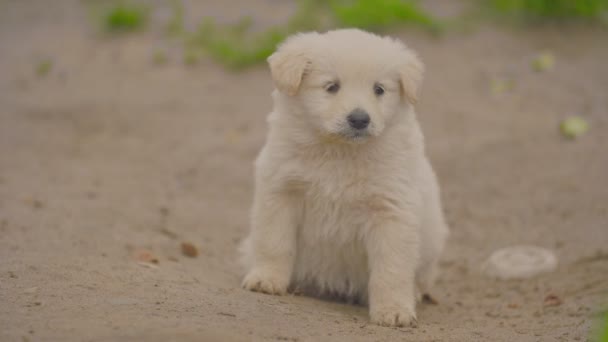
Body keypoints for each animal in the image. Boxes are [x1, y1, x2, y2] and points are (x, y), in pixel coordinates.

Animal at [240, 28, 448, 326]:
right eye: (332, 87)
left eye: (379, 89)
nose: (359, 119)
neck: (341, 152)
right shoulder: (281, 190)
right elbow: (274, 242)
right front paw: (266, 279)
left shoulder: (392, 210)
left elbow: (391, 269)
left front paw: (394, 310)